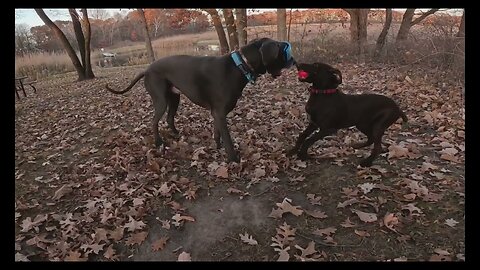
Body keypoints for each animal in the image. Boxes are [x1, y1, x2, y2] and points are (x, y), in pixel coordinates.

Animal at [106, 37, 294, 161]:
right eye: (283, 51)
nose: (293, 59)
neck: (240, 65)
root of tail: (147, 69)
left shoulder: (217, 113)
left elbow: (217, 133)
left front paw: (217, 148)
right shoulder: (220, 113)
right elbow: (227, 139)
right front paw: (233, 159)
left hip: (174, 98)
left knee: (169, 118)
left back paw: (176, 134)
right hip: (161, 100)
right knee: (154, 121)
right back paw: (159, 143)